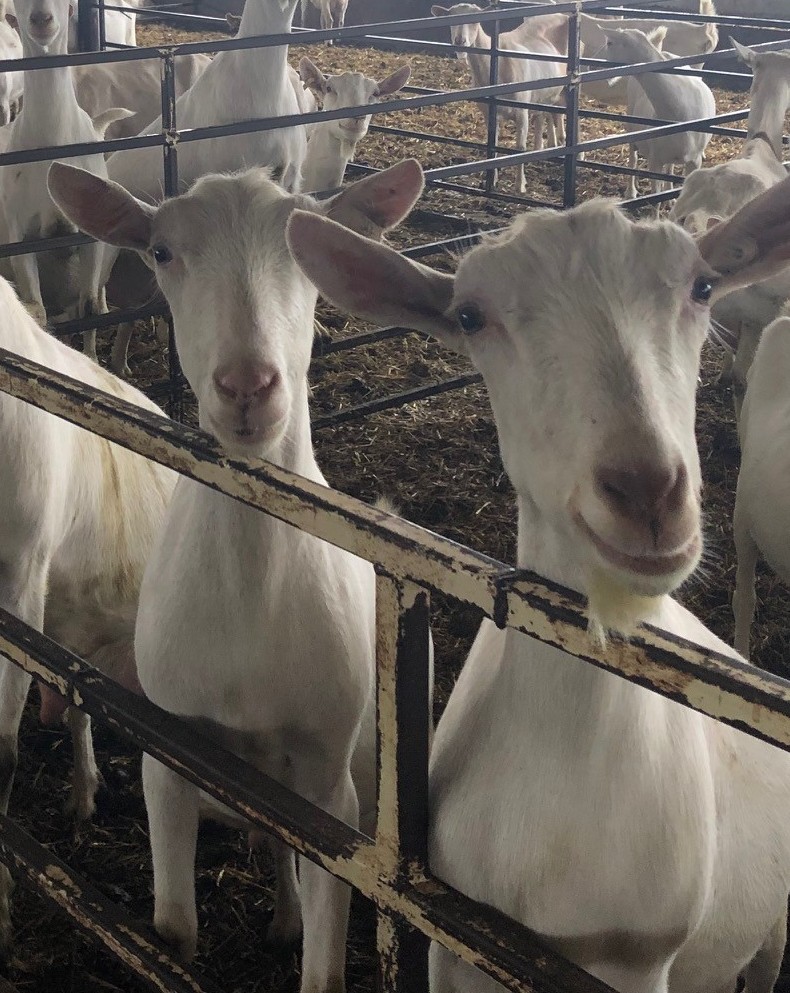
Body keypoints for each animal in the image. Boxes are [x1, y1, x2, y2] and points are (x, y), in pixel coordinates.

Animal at [48, 157, 425, 991]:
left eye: (310, 246)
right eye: (160, 251)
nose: (248, 386)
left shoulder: (329, 792)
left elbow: (325, 968)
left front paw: (301, 934)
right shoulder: (170, 751)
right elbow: (172, 930)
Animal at [432, 3, 565, 193]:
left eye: (476, 21)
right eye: (450, 20)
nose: (459, 41)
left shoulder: (521, 111)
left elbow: (519, 149)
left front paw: (519, 186)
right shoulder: (489, 113)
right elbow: (492, 147)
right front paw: (491, 181)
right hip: (544, 95)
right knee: (543, 116)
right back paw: (542, 149)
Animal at [600, 27, 714, 202]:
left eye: (609, 43)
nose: (591, 65)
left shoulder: (695, 161)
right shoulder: (655, 161)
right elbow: (656, 199)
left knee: (670, 168)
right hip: (631, 126)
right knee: (633, 158)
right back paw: (631, 192)